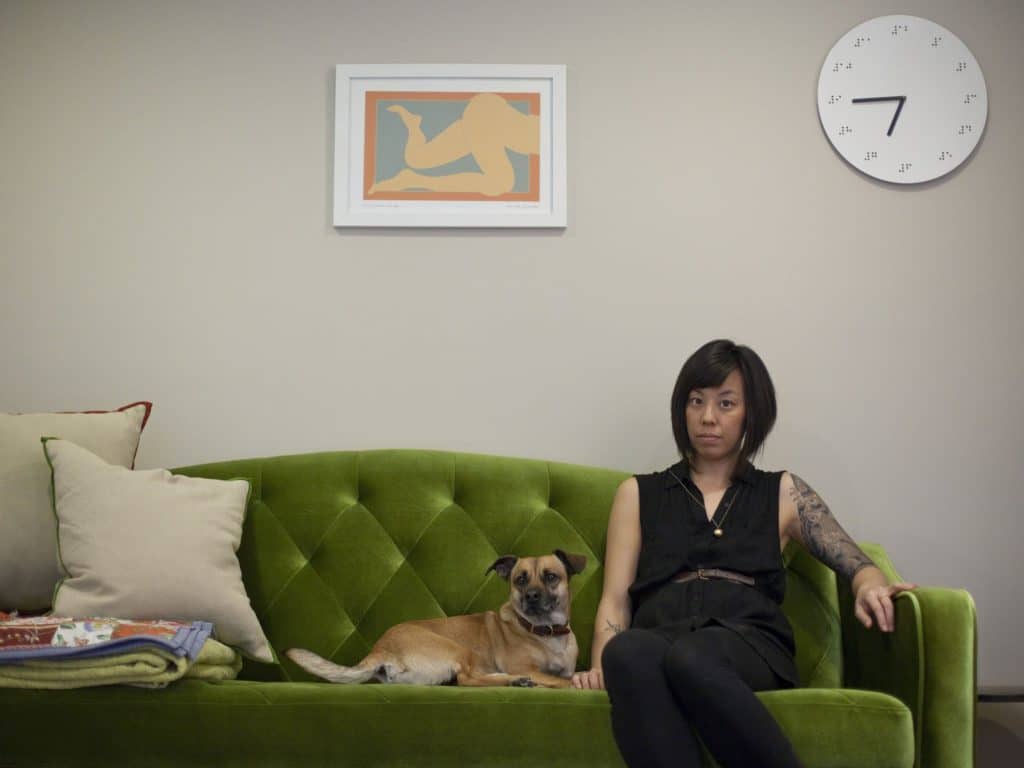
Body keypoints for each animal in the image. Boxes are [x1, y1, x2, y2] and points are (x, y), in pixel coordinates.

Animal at [284, 548, 585, 688]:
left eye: (551, 576)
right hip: (459, 649)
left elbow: (566, 675)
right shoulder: (529, 667)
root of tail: (381, 648)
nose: (531, 596)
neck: (544, 632)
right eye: (520, 580)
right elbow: (564, 681)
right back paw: (513, 681)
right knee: (467, 679)